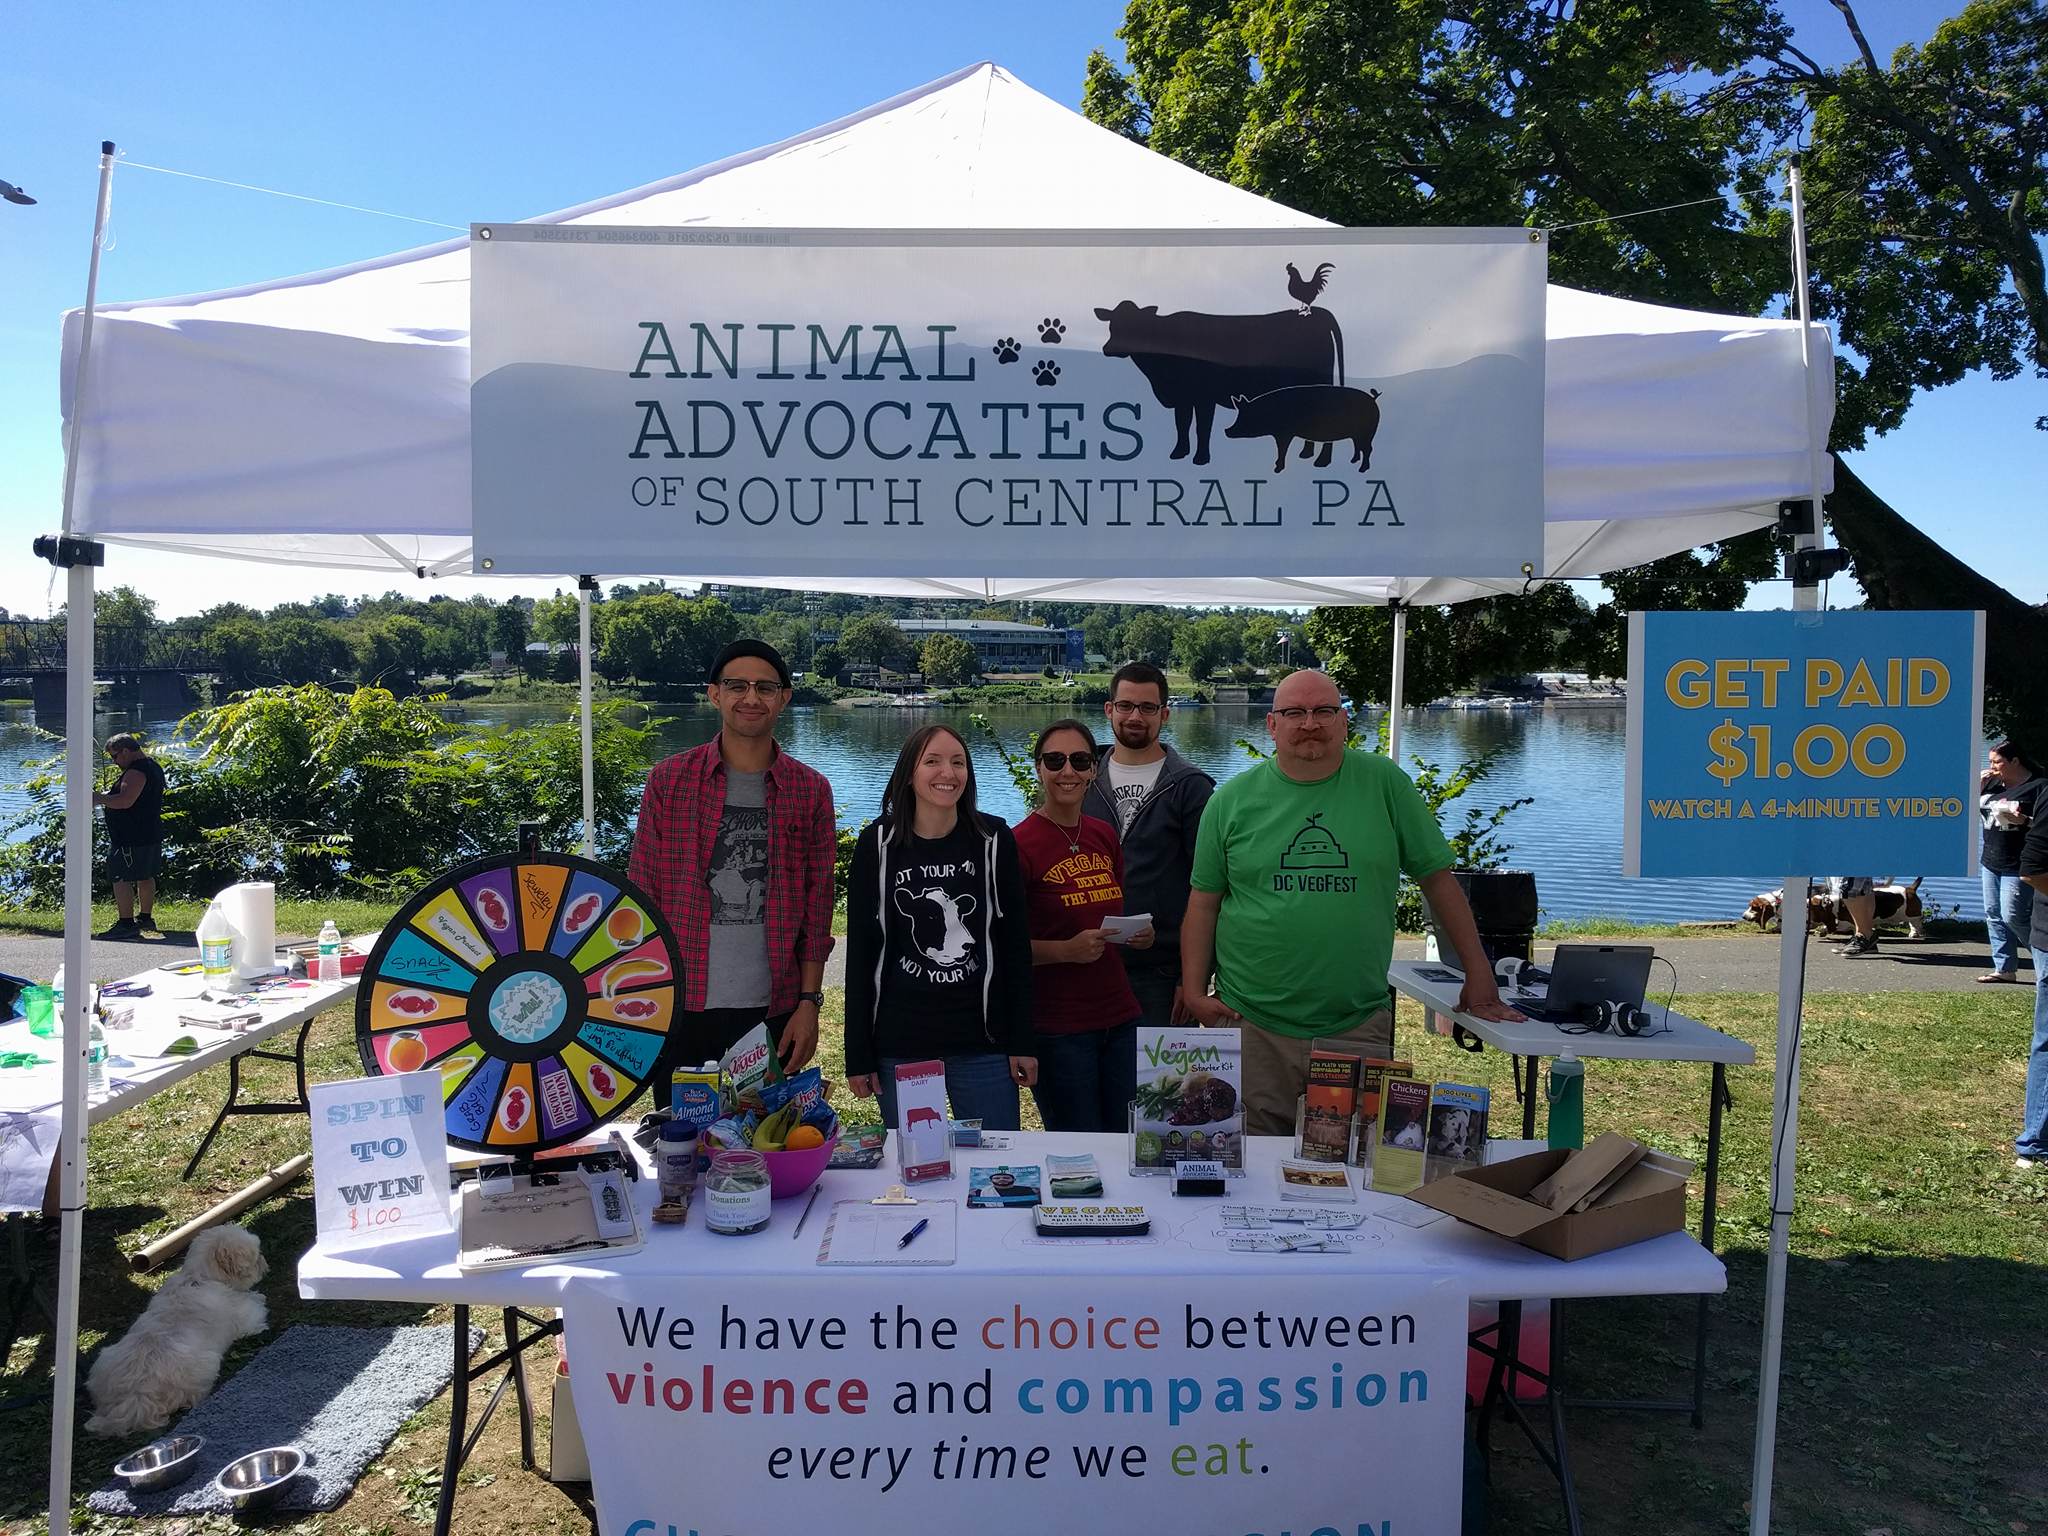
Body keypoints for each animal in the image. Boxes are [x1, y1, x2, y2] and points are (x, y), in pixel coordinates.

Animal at [88, 1228, 270, 1441]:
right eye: (256, 1257)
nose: (264, 1262)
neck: (199, 1277)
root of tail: (134, 1396)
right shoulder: (246, 1317)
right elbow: (255, 1306)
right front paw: (258, 1296)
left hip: (105, 1358)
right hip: (206, 1365)